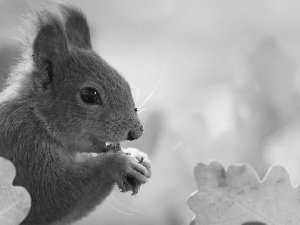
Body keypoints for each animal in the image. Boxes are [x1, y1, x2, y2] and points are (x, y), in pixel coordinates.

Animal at [0, 3, 151, 225]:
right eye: (89, 95)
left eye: (125, 83)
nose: (136, 132)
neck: (38, 118)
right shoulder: (22, 145)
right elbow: (50, 196)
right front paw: (118, 163)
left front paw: (138, 156)